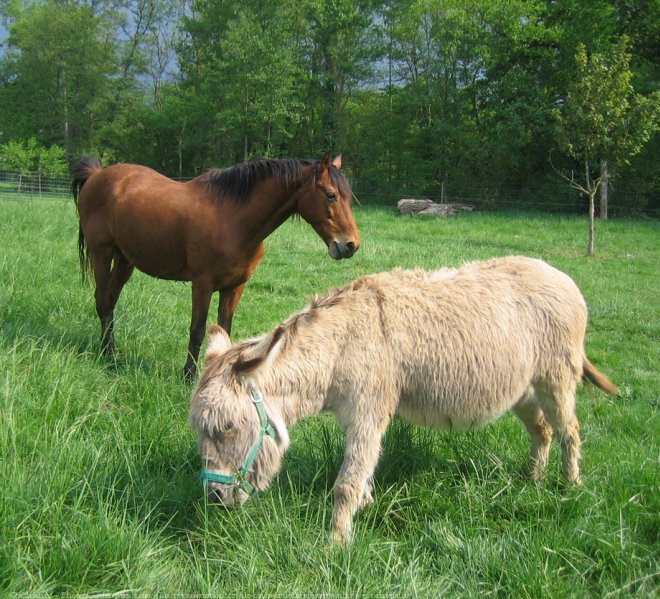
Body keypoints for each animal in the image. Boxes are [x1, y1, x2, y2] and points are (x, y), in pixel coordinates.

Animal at [71, 156, 360, 380]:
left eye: (348, 197)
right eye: (331, 195)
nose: (350, 245)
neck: (233, 219)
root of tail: (97, 175)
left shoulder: (234, 287)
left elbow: (225, 329)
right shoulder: (202, 284)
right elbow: (197, 329)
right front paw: (188, 376)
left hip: (125, 260)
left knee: (111, 300)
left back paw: (112, 351)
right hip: (101, 254)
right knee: (103, 302)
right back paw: (107, 355)